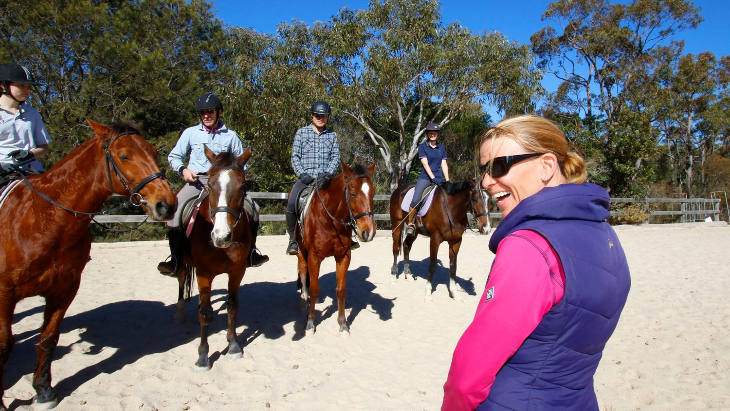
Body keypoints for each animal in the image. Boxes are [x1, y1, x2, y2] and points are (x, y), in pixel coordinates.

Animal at [0, 120, 175, 410]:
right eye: (124, 156)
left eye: (153, 151)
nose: (166, 205)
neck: (46, 219)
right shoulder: (5, 293)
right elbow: (4, 346)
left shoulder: (65, 289)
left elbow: (48, 339)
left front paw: (44, 391)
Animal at [172, 146, 252, 372]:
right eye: (209, 185)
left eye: (242, 186)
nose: (220, 237)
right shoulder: (204, 274)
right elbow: (205, 313)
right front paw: (203, 357)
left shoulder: (237, 271)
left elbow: (232, 306)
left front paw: (233, 346)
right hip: (183, 263)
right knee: (181, 278)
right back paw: (179, 313)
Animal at [294, 163, 376, 336]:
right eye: (352, 193)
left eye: (373, 194)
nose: (368, 232)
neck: (330, 220)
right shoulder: (314, 257)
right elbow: (314, 289)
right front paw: (310, 323)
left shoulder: (343, 257)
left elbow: (341, 290)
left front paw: (343, 324)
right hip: (300, 248)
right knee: (302, 267)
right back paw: (304, 294)